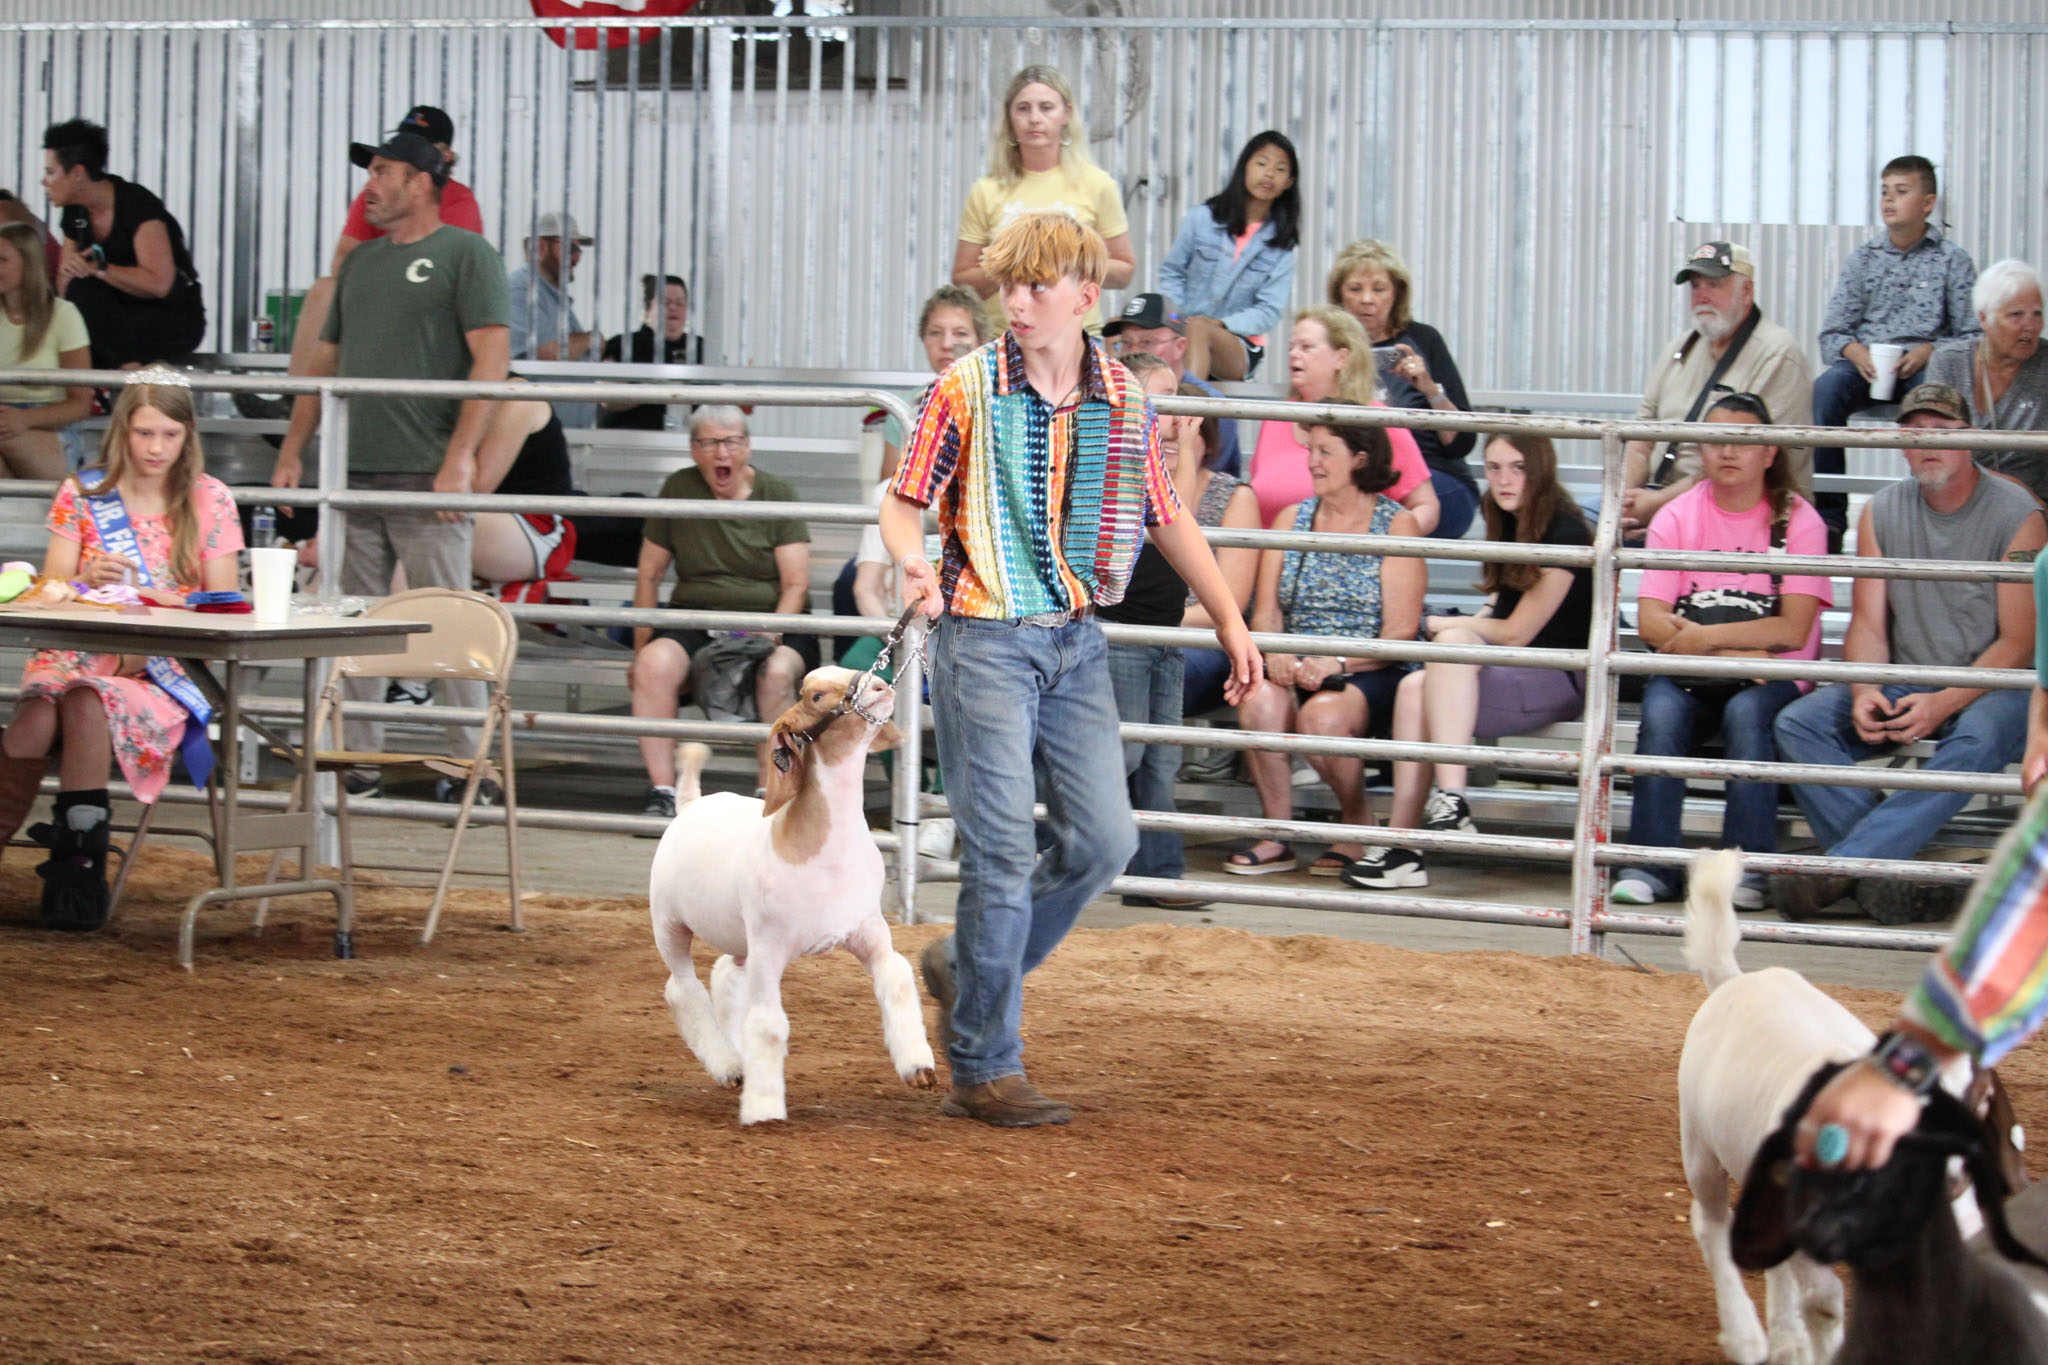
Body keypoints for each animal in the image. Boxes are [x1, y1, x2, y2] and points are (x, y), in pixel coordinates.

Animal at [648, 666, 938, 1125]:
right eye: (815, 695)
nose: (880, 685)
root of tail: (691, 805)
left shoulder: (868, 929)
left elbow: (896, 979)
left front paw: (918, 1066)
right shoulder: (770, 946)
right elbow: (769, 1024)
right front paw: (764, 1108)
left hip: (739, 937)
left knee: (726, 974)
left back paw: (738, 1055)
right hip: (668, 922)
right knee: (684, 989)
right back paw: (729, 1065)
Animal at [1677, 848, 2027, 1365]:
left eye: (1981, 1099)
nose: (1954, 1178)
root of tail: (1732, 981)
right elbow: (1825, 1303)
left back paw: (1787, 1342)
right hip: (1699, 1144)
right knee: (1713, 1225)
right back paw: (1747, 1338)